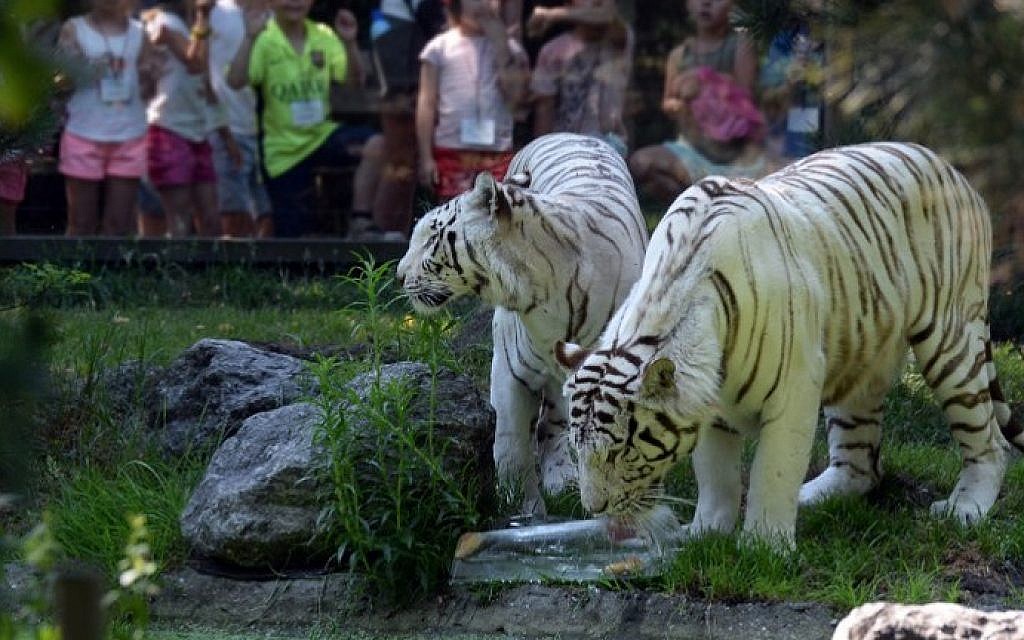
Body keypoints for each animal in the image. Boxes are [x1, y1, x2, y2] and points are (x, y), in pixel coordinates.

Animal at [396, 133, 649, 514]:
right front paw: (526, 512)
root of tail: (568, 133)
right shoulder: (511, 372)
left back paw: (561, 477)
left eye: (431, 237)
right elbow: (513, 448)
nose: (397, 275)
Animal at [555, 141, 1024, 546]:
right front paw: (706, 532)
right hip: (860, 350)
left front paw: (764, 546)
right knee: (860, 459)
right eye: (579, 451)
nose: (594, 508)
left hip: (950, 341)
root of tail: (952, 170)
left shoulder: (793, 392)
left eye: (620, 453)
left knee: (989, 439)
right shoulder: (707, 404)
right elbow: (716, 474)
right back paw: (818, 495)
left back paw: (965, 508)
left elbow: (773, 470)